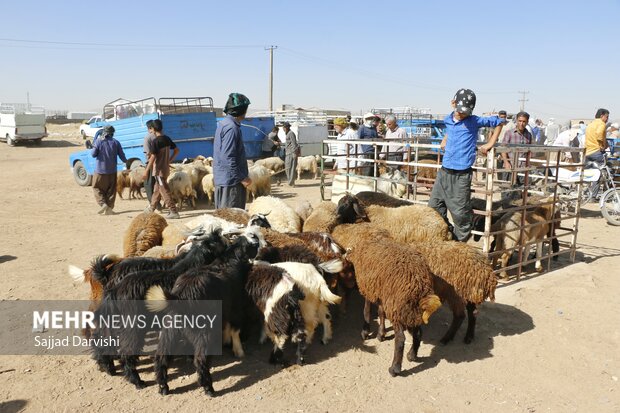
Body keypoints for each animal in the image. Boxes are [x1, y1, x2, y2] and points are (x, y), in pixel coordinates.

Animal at [146, 227, 266, 394]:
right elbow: (235, 328)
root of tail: (180, 296)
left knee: (161, 357)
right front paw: (239, 351)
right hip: (205, 331)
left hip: (170, 330)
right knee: (201, 359)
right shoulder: (235, 306)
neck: (230, 258)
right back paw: (208, 387)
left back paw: (163, 387)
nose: (258, 242)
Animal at [332, 222, 444, 376]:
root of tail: (420, 285)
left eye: (342, 270)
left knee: (401, 339)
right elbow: (380, 313)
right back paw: (412, 355)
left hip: (398, 308)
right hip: (410, 311)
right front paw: (381, 334)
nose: (343, 290)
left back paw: (394, 368)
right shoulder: (381, 292)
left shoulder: (368, 288)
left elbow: (366, 310)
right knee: (418, 333)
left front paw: (365, 331)